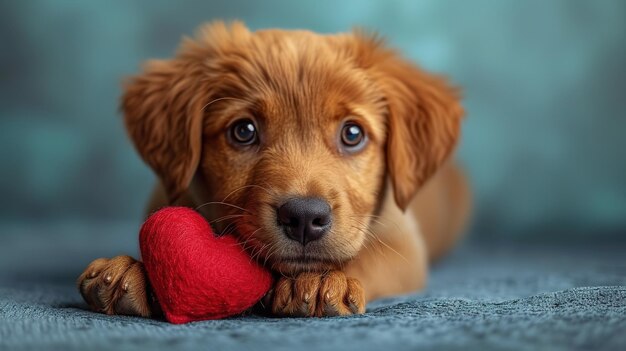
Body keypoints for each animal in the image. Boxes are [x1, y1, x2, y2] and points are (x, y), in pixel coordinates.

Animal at [77, 21, 468, 320]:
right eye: (244, 131)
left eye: (353, 134)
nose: (304, 218)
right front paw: (132, 270)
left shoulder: (404, 244)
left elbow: (369, 258)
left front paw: (324, 280)